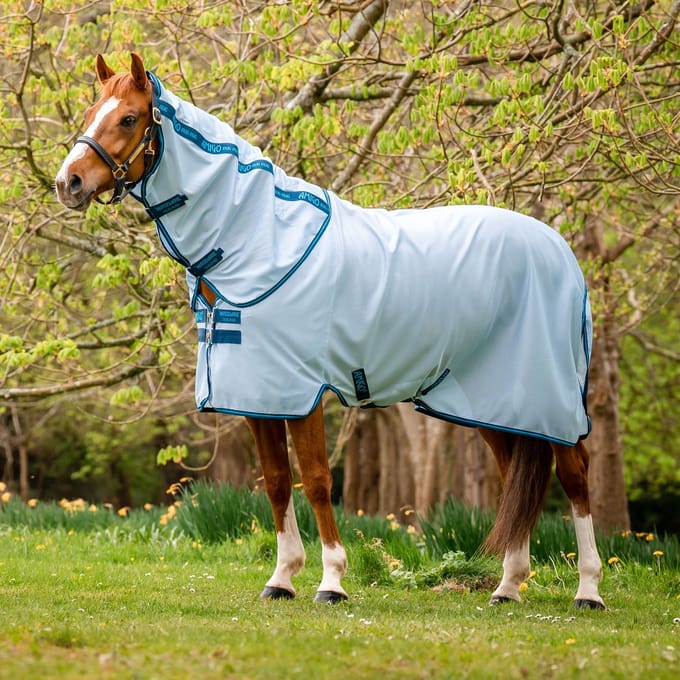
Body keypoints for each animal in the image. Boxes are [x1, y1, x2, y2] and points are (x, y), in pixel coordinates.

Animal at [55, 53, 605, 609]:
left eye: (128, 119)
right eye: (90, 112)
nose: (68, 183)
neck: (258, 239)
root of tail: (559, 249)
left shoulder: (303, 392)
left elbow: (317, 481)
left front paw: (332, 581)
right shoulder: (258, 395)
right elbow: (278, 481)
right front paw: (281, 578)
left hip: (549, 395)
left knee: (575, 473)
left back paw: (588, 590)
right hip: (493, 400)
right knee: (515, 474)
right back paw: (508, 586)